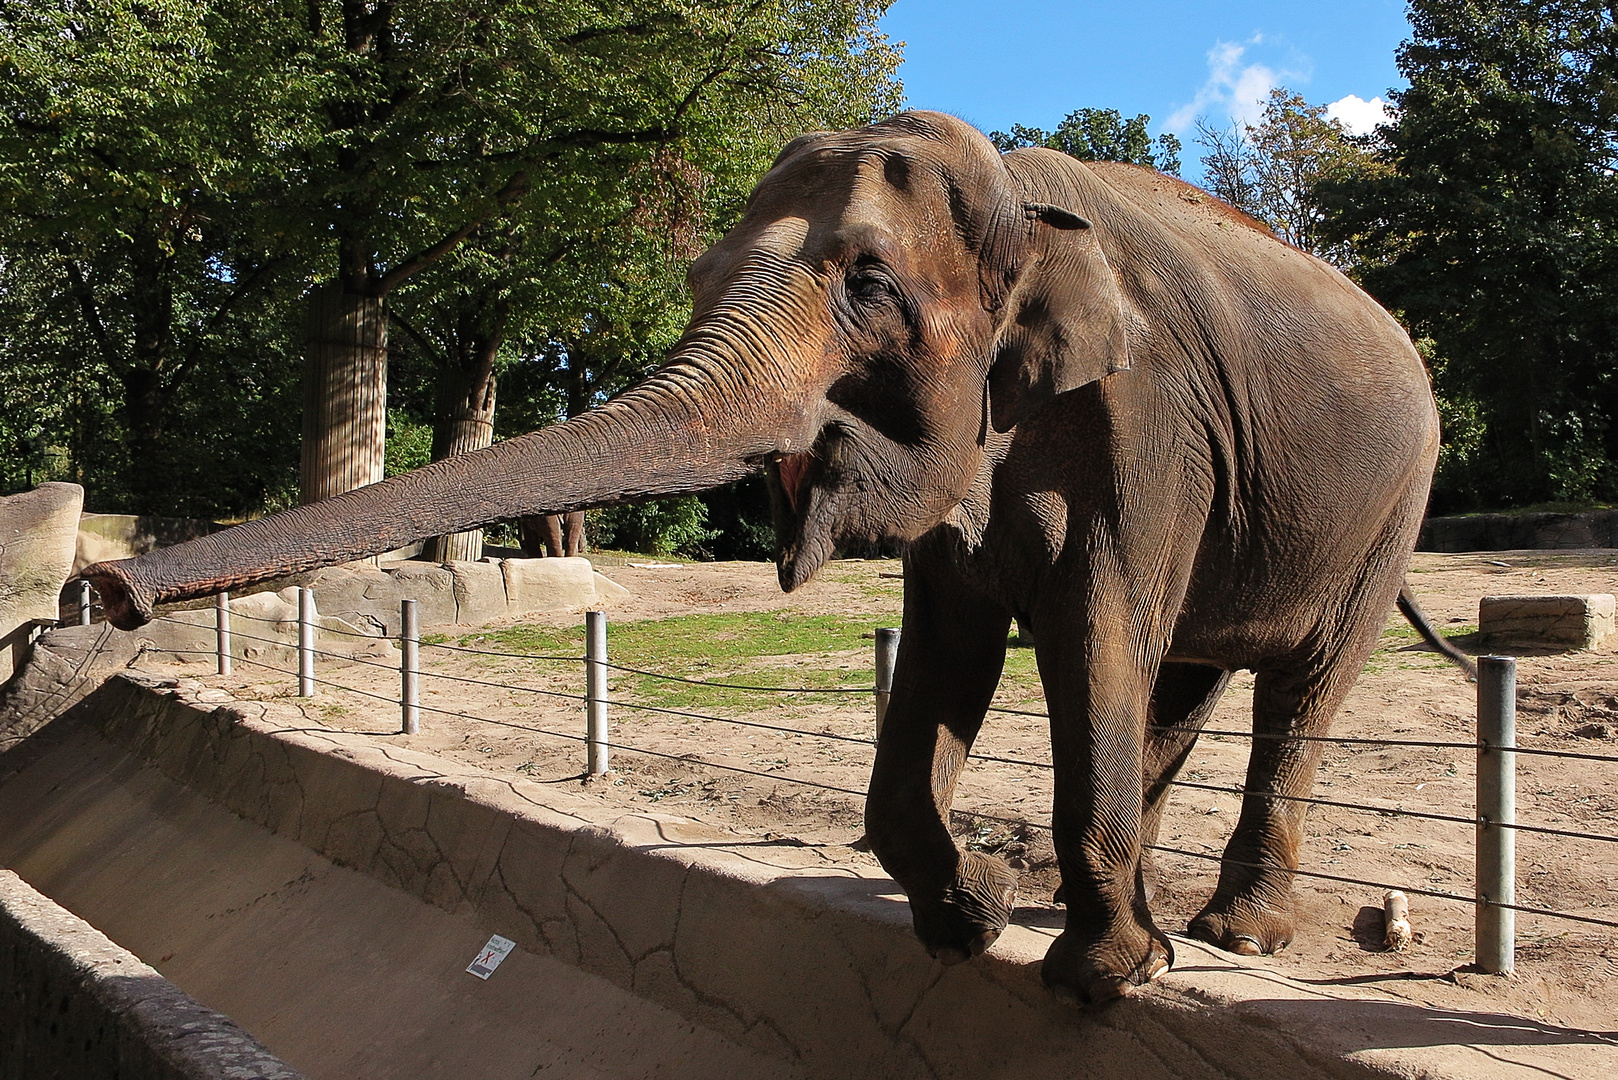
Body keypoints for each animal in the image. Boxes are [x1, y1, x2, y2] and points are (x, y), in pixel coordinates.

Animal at [82, 110, 1475, 1003]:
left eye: (868, 283)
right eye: (698, 270)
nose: (101, 590)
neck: (1025, 198)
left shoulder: (1145, 427)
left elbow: (1093, 631)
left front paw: (1108, 977)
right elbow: (951, 649)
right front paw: (972, 916)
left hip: (1392, 503)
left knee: (1295, 688)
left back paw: (1232, 936)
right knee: (1180, 681)